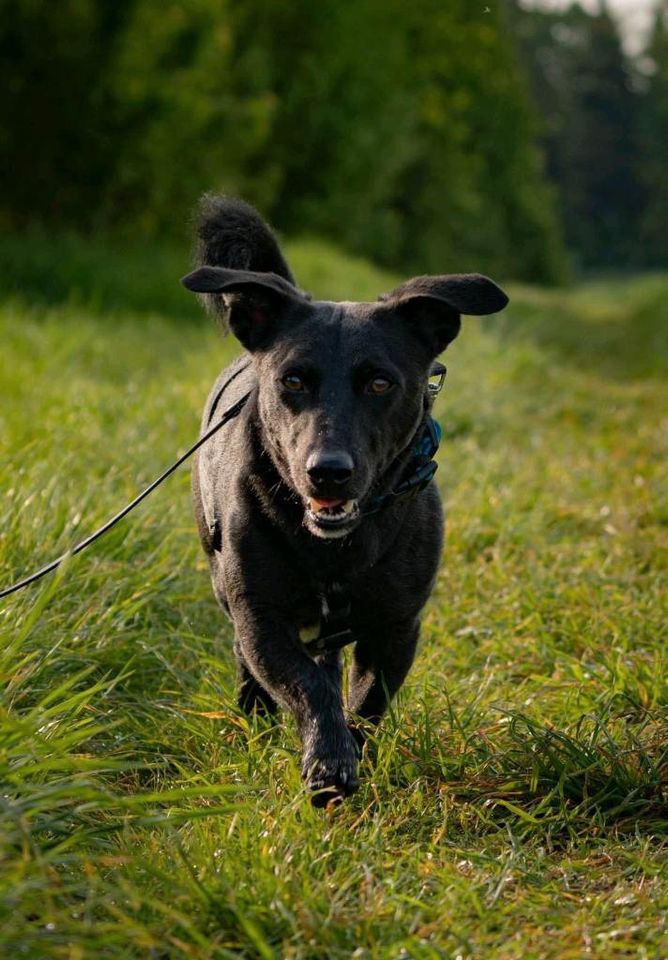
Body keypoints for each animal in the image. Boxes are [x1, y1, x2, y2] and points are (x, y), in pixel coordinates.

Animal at [180, 199, 508, 808]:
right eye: (292, 381)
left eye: (380, 383)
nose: (328, 471)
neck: (336, 547)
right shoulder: (260, 617)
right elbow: (305, 684)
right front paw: (328, 760)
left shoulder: (396, 627)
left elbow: (366, 702)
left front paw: (348, 752)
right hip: (224, 587)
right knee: (254, 663)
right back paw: (255, 717)